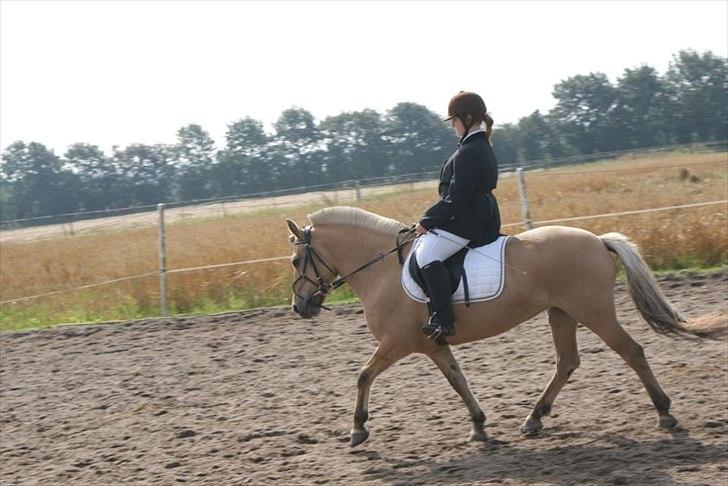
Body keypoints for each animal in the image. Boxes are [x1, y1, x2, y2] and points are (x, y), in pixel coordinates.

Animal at [284, 206, 725, 447]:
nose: (299, 307)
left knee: (631, 351)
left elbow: (362, 376)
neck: (381, 269)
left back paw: (665, 414)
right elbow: (458, 380)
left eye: (294, 261)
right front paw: (479, 426)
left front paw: (358, 430)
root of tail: (598, 240)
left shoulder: (398, 343)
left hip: (593, 312)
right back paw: (534, 419)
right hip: (561, 313)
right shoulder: (432, 344)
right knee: (567, 362)